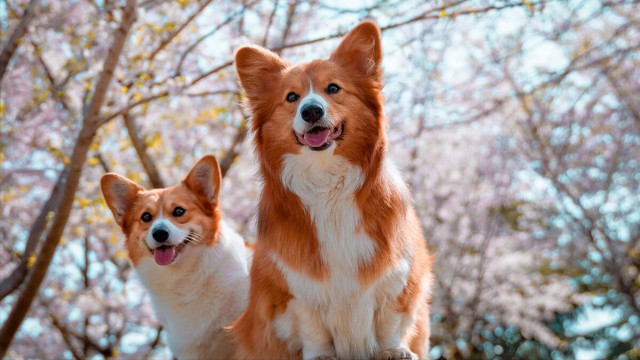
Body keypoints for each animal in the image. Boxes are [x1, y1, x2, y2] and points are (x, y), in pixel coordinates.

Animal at [232, 21, 432, 360]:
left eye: (334, 89)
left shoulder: (400, 273)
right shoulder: (293, 288)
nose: (311, 111)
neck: (326, 181)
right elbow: (312, 326)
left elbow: (391, 320)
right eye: (291, 97)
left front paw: (394, 350)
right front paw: (321, 355)